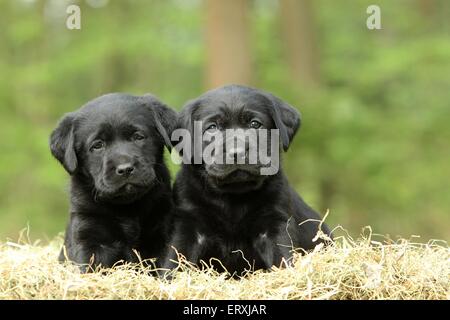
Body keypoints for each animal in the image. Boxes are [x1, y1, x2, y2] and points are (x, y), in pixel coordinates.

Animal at [49, 93, 176, 272]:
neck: (128, 208)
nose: (125, 169)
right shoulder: (89, 235)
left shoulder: (162, 230)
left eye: (138, 137)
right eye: (97, 145)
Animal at [163, 85, 332, 278]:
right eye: (212, 128)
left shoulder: (275, 222)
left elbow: (281, 255)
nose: (236, 152)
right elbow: (176, 258)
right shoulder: (189, 224)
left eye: (255, 124)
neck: (233, 196)